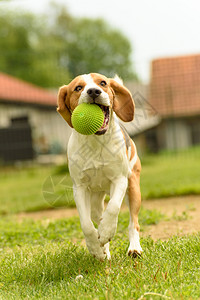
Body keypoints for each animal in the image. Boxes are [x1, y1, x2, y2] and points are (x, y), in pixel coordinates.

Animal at [57, 72, 143, 260]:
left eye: (103, 83)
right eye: (78, 88)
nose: (94, 91)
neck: (95, 142)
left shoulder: (120, 180)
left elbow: (113, 208)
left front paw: (106, 231)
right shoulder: (80, 188)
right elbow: (86, 224)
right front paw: (95, 247)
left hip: (133, 187)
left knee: (133, 223)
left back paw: (134, 248)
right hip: (95, 202)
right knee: (97, 217)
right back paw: (104, 250)